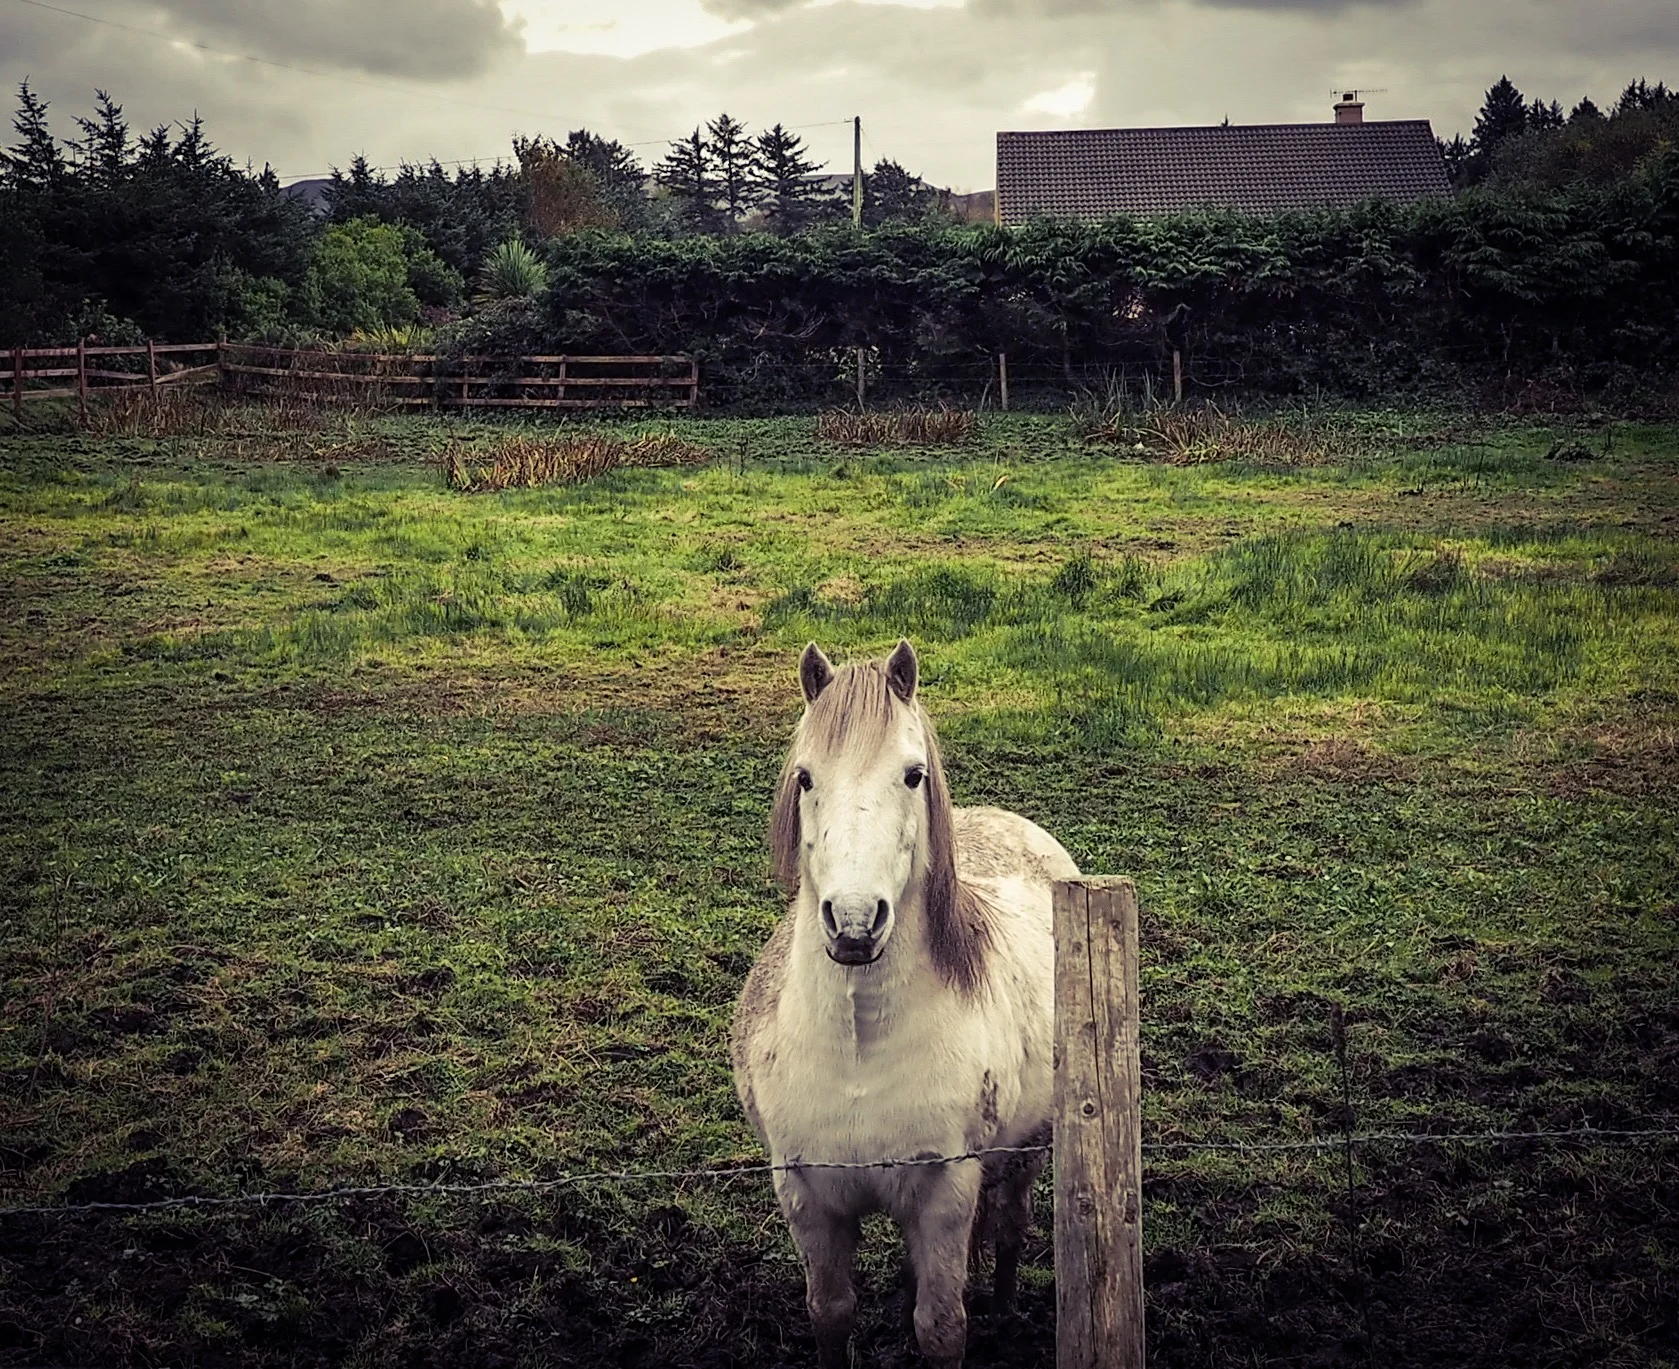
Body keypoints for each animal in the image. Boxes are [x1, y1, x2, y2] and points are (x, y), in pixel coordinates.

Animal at [731, 639, 1079, 1368]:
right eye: (805, 778)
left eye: (912, 775)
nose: (854, 922)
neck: (859, 1042)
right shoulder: (806, 1197)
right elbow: (831, 1312)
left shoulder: (946, 1192)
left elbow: (941, 1324)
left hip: (1030, 1144)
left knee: (1010, 1225)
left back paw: (1005, 1311)